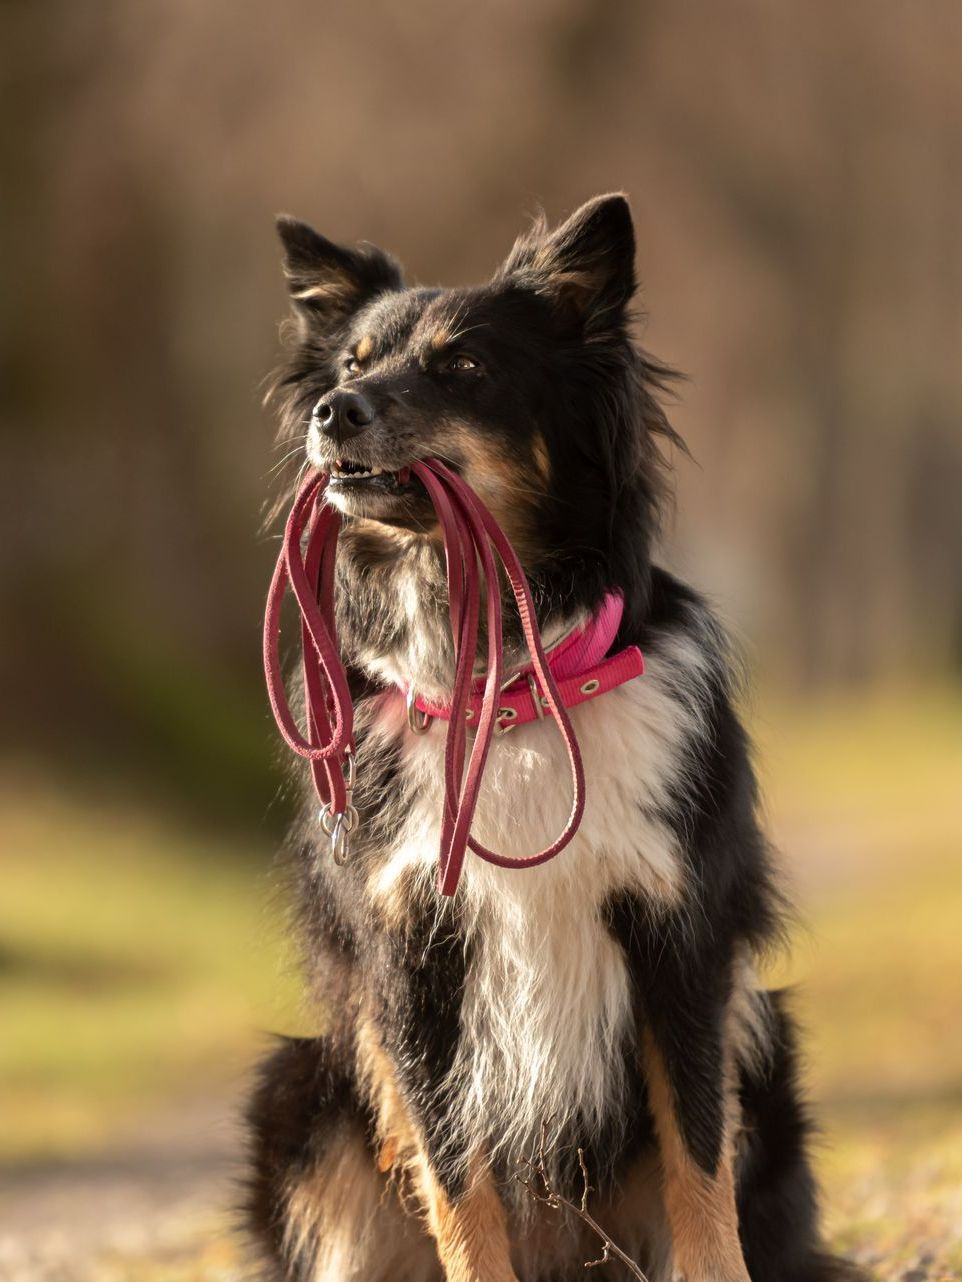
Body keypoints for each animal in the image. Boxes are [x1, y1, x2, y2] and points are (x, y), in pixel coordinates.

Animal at [248, 192, 856, 1282]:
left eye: (464, 365)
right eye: (353, 362)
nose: (334, 412)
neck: (511, 695)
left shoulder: (678, 940)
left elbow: (698, 1162)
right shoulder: (412, 958)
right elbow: (458, 1182)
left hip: (771, 1047)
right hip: (300, 1095)